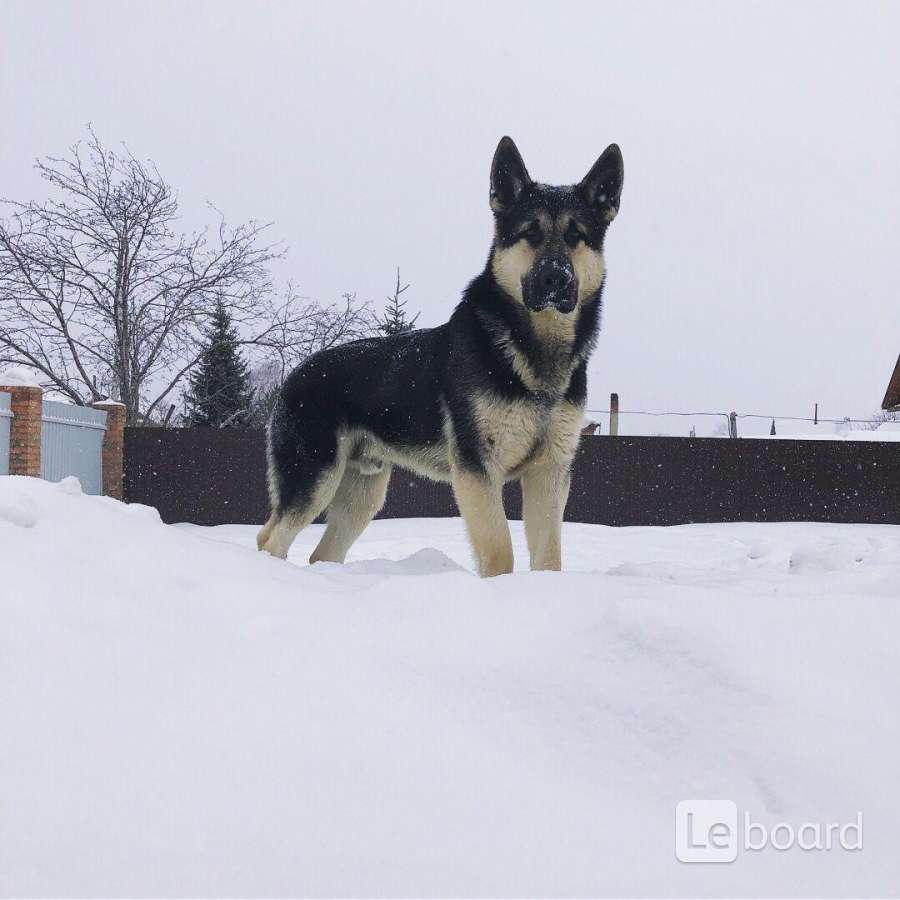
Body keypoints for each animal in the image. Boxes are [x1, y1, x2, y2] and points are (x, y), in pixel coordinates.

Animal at [256, 139, 624, 576]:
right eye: (530, 233)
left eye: (576, 235)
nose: (556, 279)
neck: (533, 347)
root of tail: (293, 375)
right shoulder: (477, 470)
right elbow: (500, 552)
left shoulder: (549, 473)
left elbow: (549, 558)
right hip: (315, 476)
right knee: (271, 539)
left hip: (363, 494)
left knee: (318, 551)